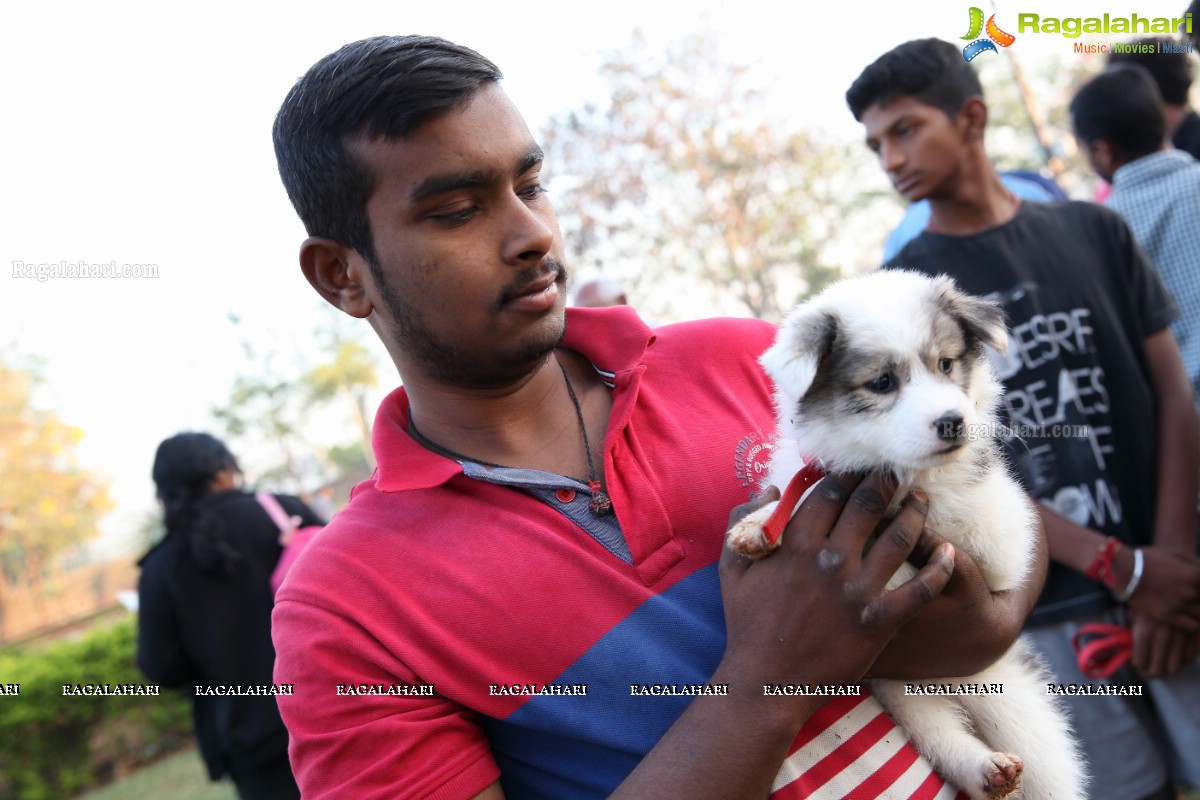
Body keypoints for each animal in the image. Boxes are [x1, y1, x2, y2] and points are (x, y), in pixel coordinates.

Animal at [729, 271, 1089, 800]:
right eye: (882, 382)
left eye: (946, 364)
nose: (954, 423)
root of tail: (952, 684)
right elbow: (798, 493)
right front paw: (761, 521)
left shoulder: (1002, 537)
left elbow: (952, 515)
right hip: (900, 691)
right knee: (939, 733)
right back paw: (985, 768)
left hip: (1017, 711)